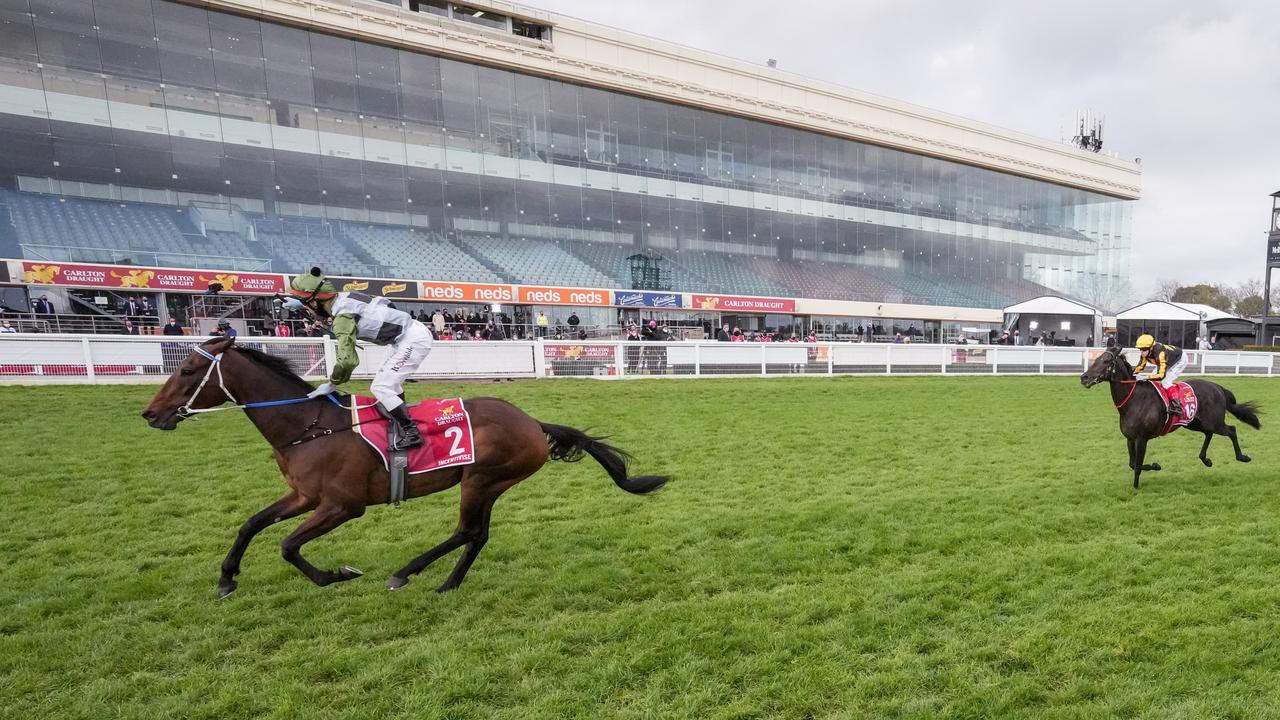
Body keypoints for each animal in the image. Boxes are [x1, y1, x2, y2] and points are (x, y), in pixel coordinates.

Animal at [140, 335, 670, 594]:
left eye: (187, 370)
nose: (150, 414)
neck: (309, 426)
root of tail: (531, 421)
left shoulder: (342, 505)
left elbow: (288, 546)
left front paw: (336, 575)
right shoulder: (304, 495)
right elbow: (251, 525)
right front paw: (227, 578)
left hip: (482, 478)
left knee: (466, 530)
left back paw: (407, 573)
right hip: (489, 482)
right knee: (477, 535)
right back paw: (449, 583)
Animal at [1080, 345, 1259, 486]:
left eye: (1105, 361)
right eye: (1096, 359)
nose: (1084, 377)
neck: (1133, 400)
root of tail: (1218, 387)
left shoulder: (1142, 439)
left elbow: (1137, 466)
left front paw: (1138, 485)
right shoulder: (1130, 438)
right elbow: (1132, 464)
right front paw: (1152, 469)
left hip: (1214, 422)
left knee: (1231, 430)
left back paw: (1242, 457)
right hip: (1196, 423)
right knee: (1209, 434)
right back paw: (1206, 459)